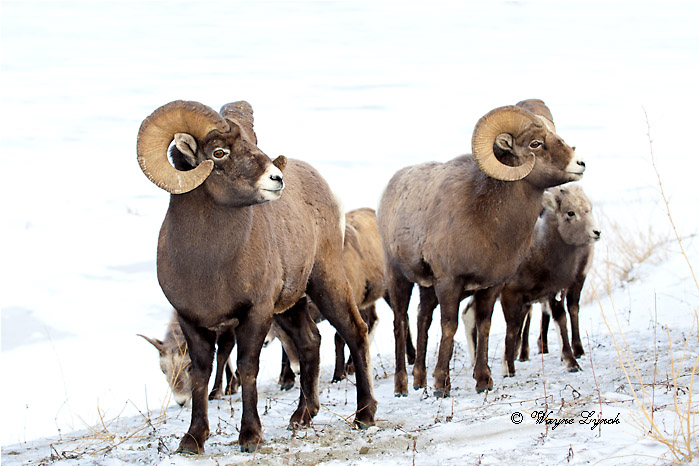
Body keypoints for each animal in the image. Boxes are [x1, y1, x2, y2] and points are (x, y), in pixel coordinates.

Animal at [136, 100, 376, 454]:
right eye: (219, 152)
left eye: (253, 142)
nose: (276, 178)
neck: (209, 266)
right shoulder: (192, 322)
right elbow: (202, 376)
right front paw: (193, 440)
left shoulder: (255, 314)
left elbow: (248, 368)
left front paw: (250, 437)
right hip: (291, 305)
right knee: (310, 342)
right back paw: (302, 417)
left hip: (325, 281)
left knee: (354, 332)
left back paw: (365, 416)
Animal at [377, 99, 586, 396]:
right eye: (535, 144)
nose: (579, 164)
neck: (487, 218)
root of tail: (392, 186)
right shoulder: (449, 283)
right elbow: (449, 326)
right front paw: (442, 386)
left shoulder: (491, 286)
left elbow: (483, 325)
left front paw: (483, 381)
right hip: (398, 278)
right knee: (401, 322)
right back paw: (402, 387)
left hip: (427, 289)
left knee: (422, 320)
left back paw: (419, 382)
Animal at [462, 184, 600, 376]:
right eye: (570, 212)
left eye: (589, 208)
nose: (597, 232)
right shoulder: (511, 294)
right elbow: (513, 327)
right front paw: (509, 369)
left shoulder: (553, 293)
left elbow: (560, 320)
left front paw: (572, 363)